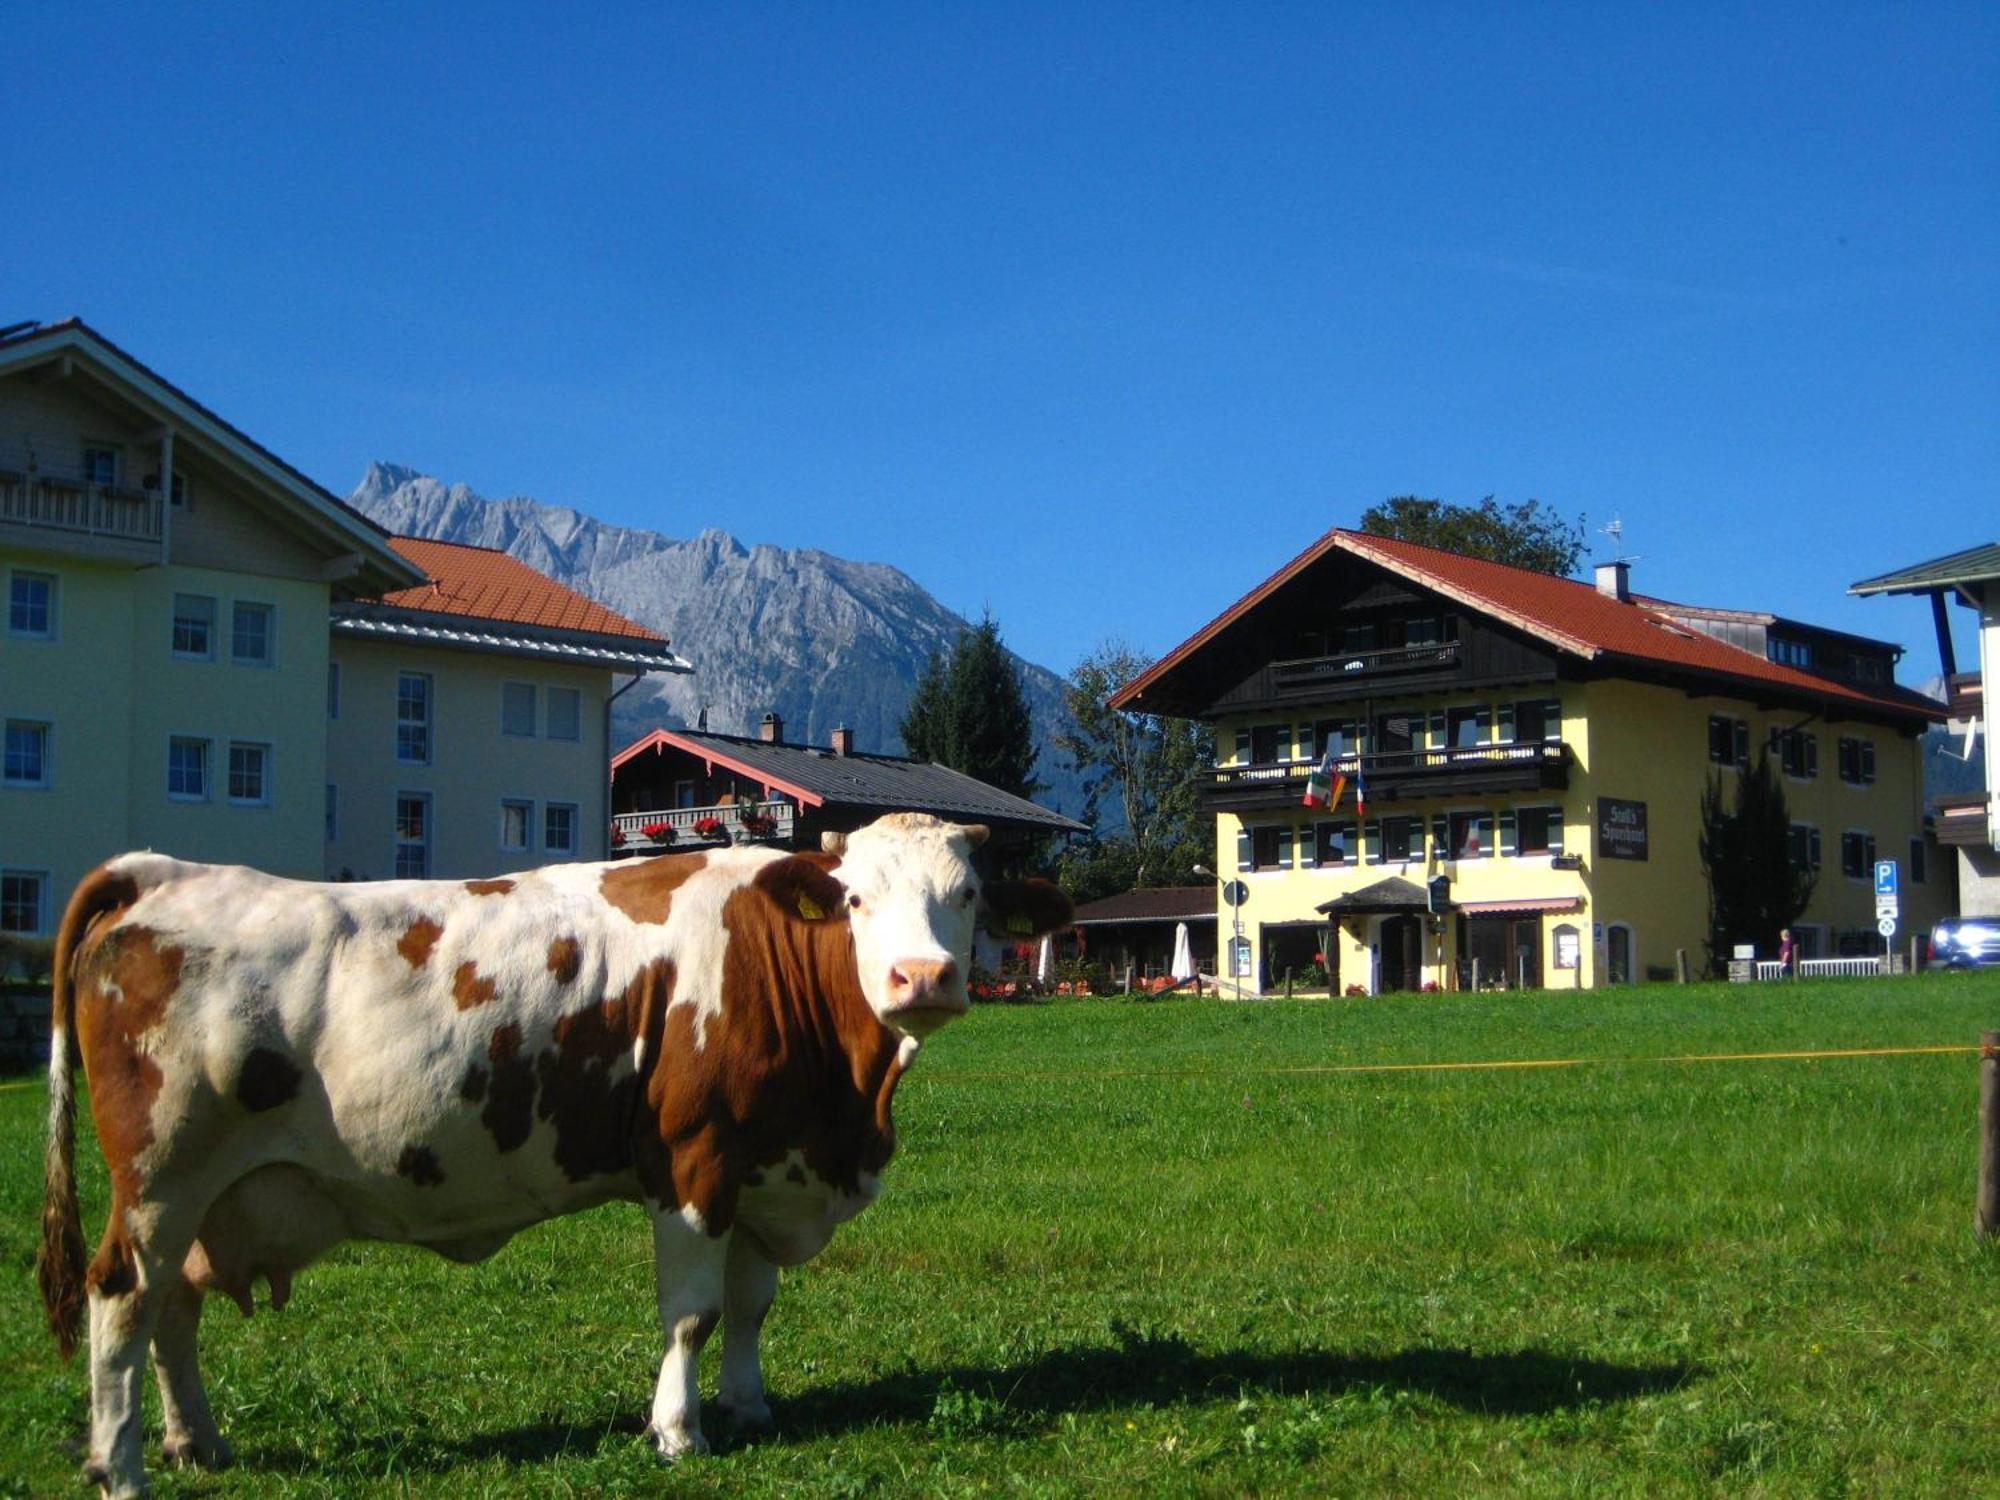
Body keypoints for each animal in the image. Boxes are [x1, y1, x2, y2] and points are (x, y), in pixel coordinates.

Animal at [39, 816, 1072, 1496]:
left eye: (969, 896)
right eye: (856, 899)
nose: (922, 978)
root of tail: (163, 873)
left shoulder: (761, 1163)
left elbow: (750, 1306)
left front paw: (749, 1407)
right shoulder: (692, 1163)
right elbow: (693, 1314)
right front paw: (679, 1431)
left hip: (206, 1193)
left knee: (174, 1307)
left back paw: (195, 1444)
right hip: (160, 1179)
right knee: (123, 1298)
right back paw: (120, 1466)